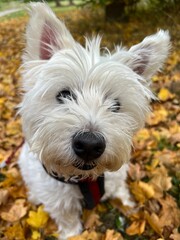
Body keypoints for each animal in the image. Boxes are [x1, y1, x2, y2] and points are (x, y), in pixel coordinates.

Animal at [17, 2, 170, 240]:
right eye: (64, 94)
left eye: (115, 104)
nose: (89, 145)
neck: (84, 179)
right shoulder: (60, 202)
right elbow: (68, 221)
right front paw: (71, 235)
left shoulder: (115, 179)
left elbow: (121, 193)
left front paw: (131, 207)